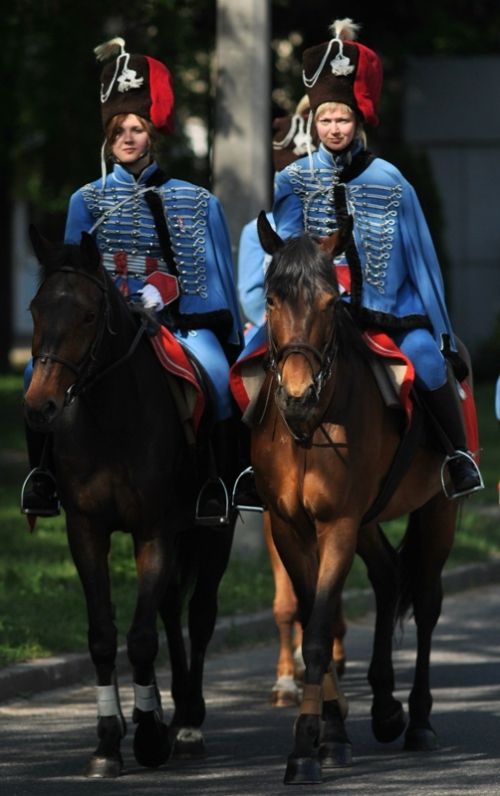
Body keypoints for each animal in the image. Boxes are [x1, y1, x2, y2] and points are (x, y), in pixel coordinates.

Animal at [23, 227, 237, 778]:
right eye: (34, 309)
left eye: (87, 315)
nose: (39, 407)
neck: (111, 418)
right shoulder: (85, 529)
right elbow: (104, 634)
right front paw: (108, 740)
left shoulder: (153, 529)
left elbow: (140, 639)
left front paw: (148, 737)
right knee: (169, 610)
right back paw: (169, 711)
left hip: (214, 530)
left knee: (199, 614)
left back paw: (187, 721)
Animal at [251, 212, 466, 785]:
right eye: (272, 299)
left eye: (331, 302)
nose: (297, 396)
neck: (309, 429)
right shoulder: (288, 526)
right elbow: (312, 618)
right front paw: (330, 734)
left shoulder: (338, 524)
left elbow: (321, 629)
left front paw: (305, 750)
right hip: (370, 520)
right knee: (389, 576)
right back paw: (387, 708)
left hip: (439, 510)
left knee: (428, 603)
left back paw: (418, 720)